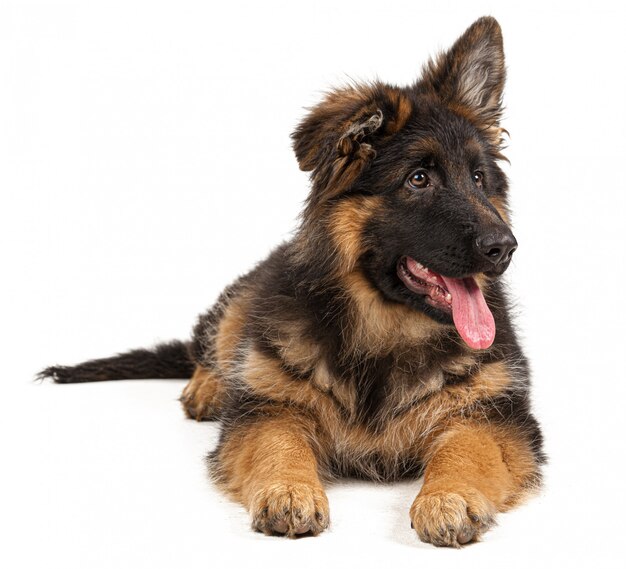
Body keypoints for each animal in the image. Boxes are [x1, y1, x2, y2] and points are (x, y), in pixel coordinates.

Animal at [41, 15, 544, 544]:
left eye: (479, 179)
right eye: (418, 179)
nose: (504, 247)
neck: (384, 330)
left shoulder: (494, 416)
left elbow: (464, 450)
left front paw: (449, 497)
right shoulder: (270, 408)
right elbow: (278, 443)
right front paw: (289, 490)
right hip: (245, 298)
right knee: (214, 340)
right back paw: (210, 386)